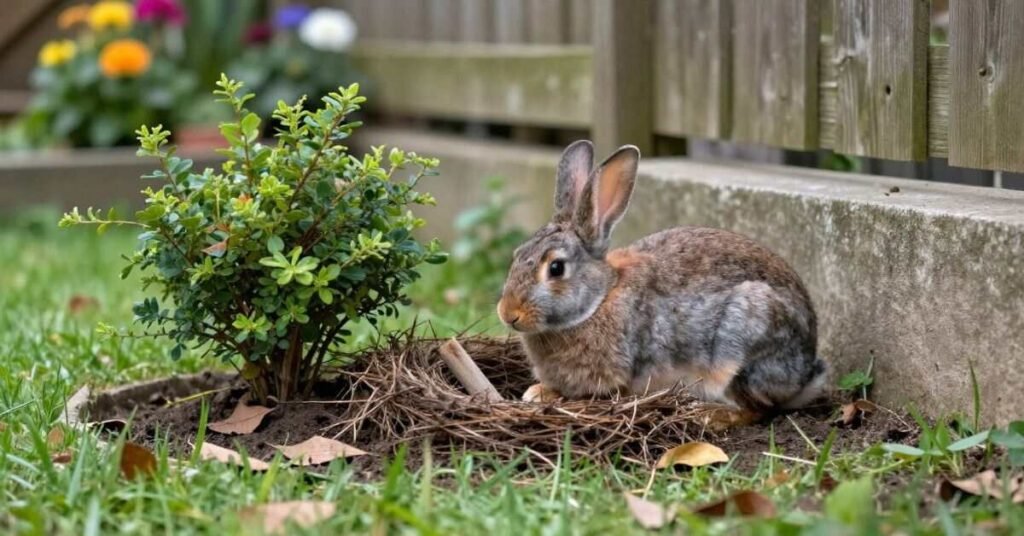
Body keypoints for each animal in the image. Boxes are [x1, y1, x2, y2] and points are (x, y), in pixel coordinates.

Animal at [496, 140, 828, 416]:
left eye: (556, 268)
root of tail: (804, 373)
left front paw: (543, 395)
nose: (508, 314)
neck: (599, 299)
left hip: (741, 342)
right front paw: (536, 391)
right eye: (517, 254)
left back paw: (710, 415)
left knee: (755, 410)